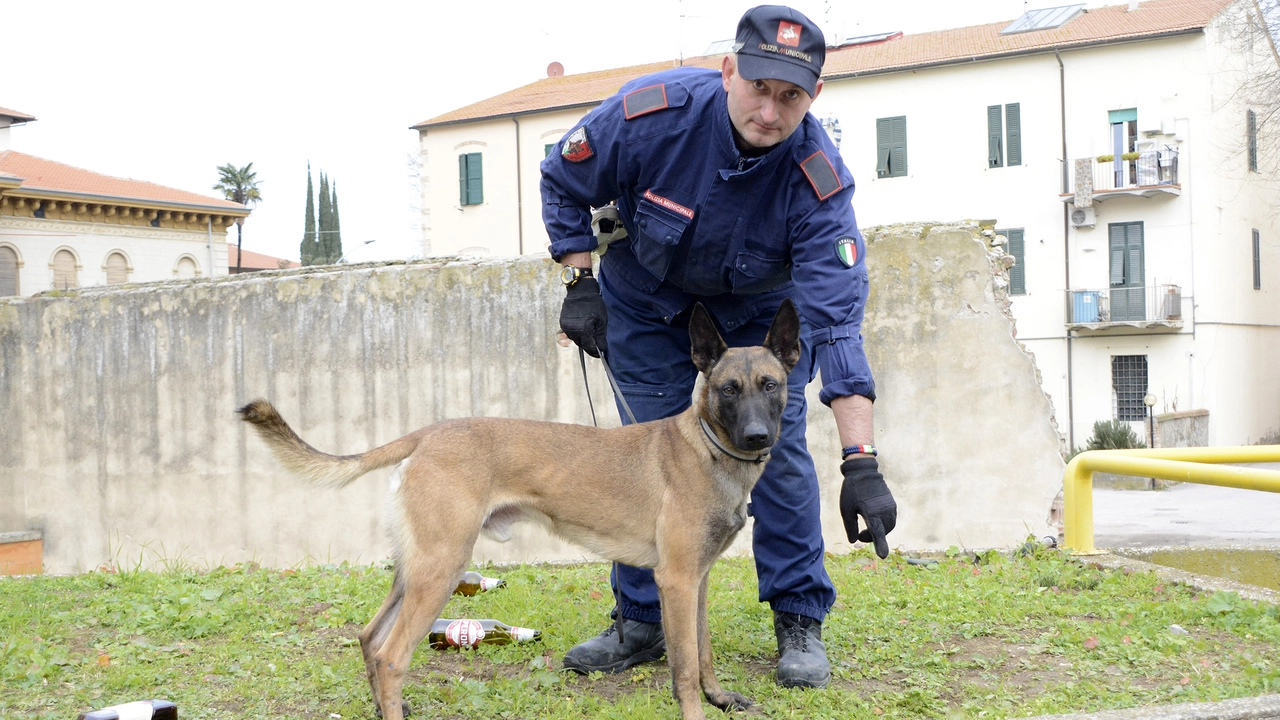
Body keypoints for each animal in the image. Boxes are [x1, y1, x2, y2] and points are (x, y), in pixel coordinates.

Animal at [238, 298, 798, 717]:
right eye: (728, 389)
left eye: (770, 385)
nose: (758, 437)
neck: (708, 448)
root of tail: (427, 434)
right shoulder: (677, 581)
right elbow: (682, 666)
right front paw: (697, 708)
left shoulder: (697, 580)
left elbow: (703, 653)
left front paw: (719, 697)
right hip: (441, 570)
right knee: (392, 656)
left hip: (415, 570)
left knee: (369, 640)